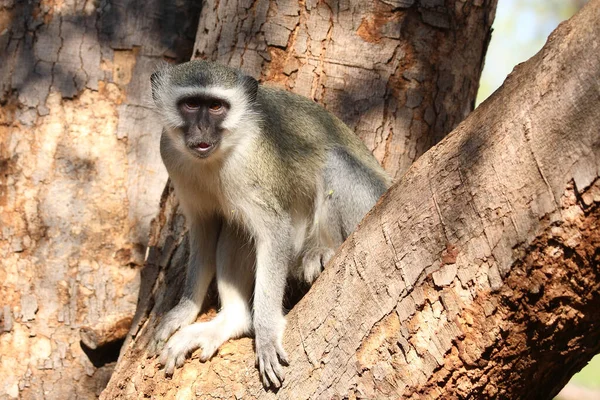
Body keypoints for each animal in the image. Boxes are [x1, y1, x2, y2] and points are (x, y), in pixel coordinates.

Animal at [150, 59, 392, 388]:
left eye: (215, 107)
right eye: (190, 104)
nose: (201, 130)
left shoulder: (253, 163)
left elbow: (274, 233)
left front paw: (265, 335)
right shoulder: (171, 154)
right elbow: (205, 229)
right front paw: (184, 310)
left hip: (372, 203)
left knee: (336, 162)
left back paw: (324, 249)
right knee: (235, 227)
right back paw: (231, 321)